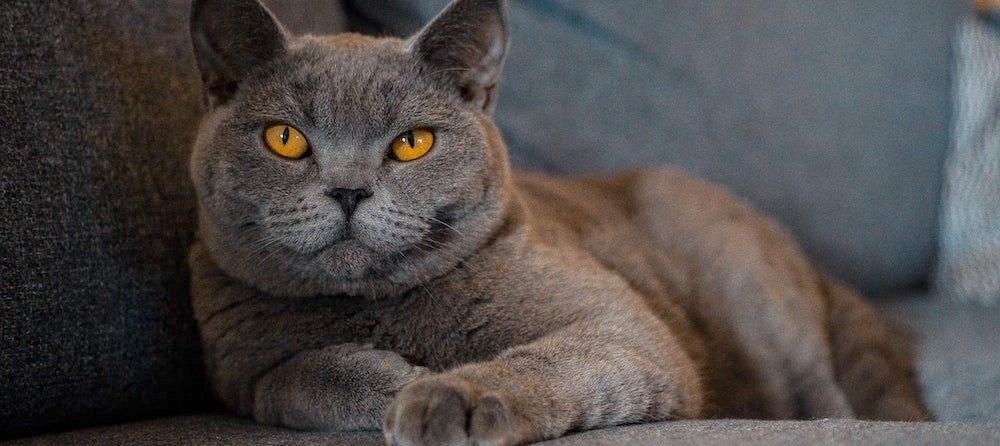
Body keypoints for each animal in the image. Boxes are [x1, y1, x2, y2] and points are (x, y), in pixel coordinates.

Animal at [186, 0, 928, 444]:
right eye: (285, 139)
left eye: (412, 143)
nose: (347, 190)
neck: (375, 307)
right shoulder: (234, 368)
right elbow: (294, 379)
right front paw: (395, 379)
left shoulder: (620, 323)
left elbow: (540, 358)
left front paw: (443, 393)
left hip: (753, 294)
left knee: (826, 393)